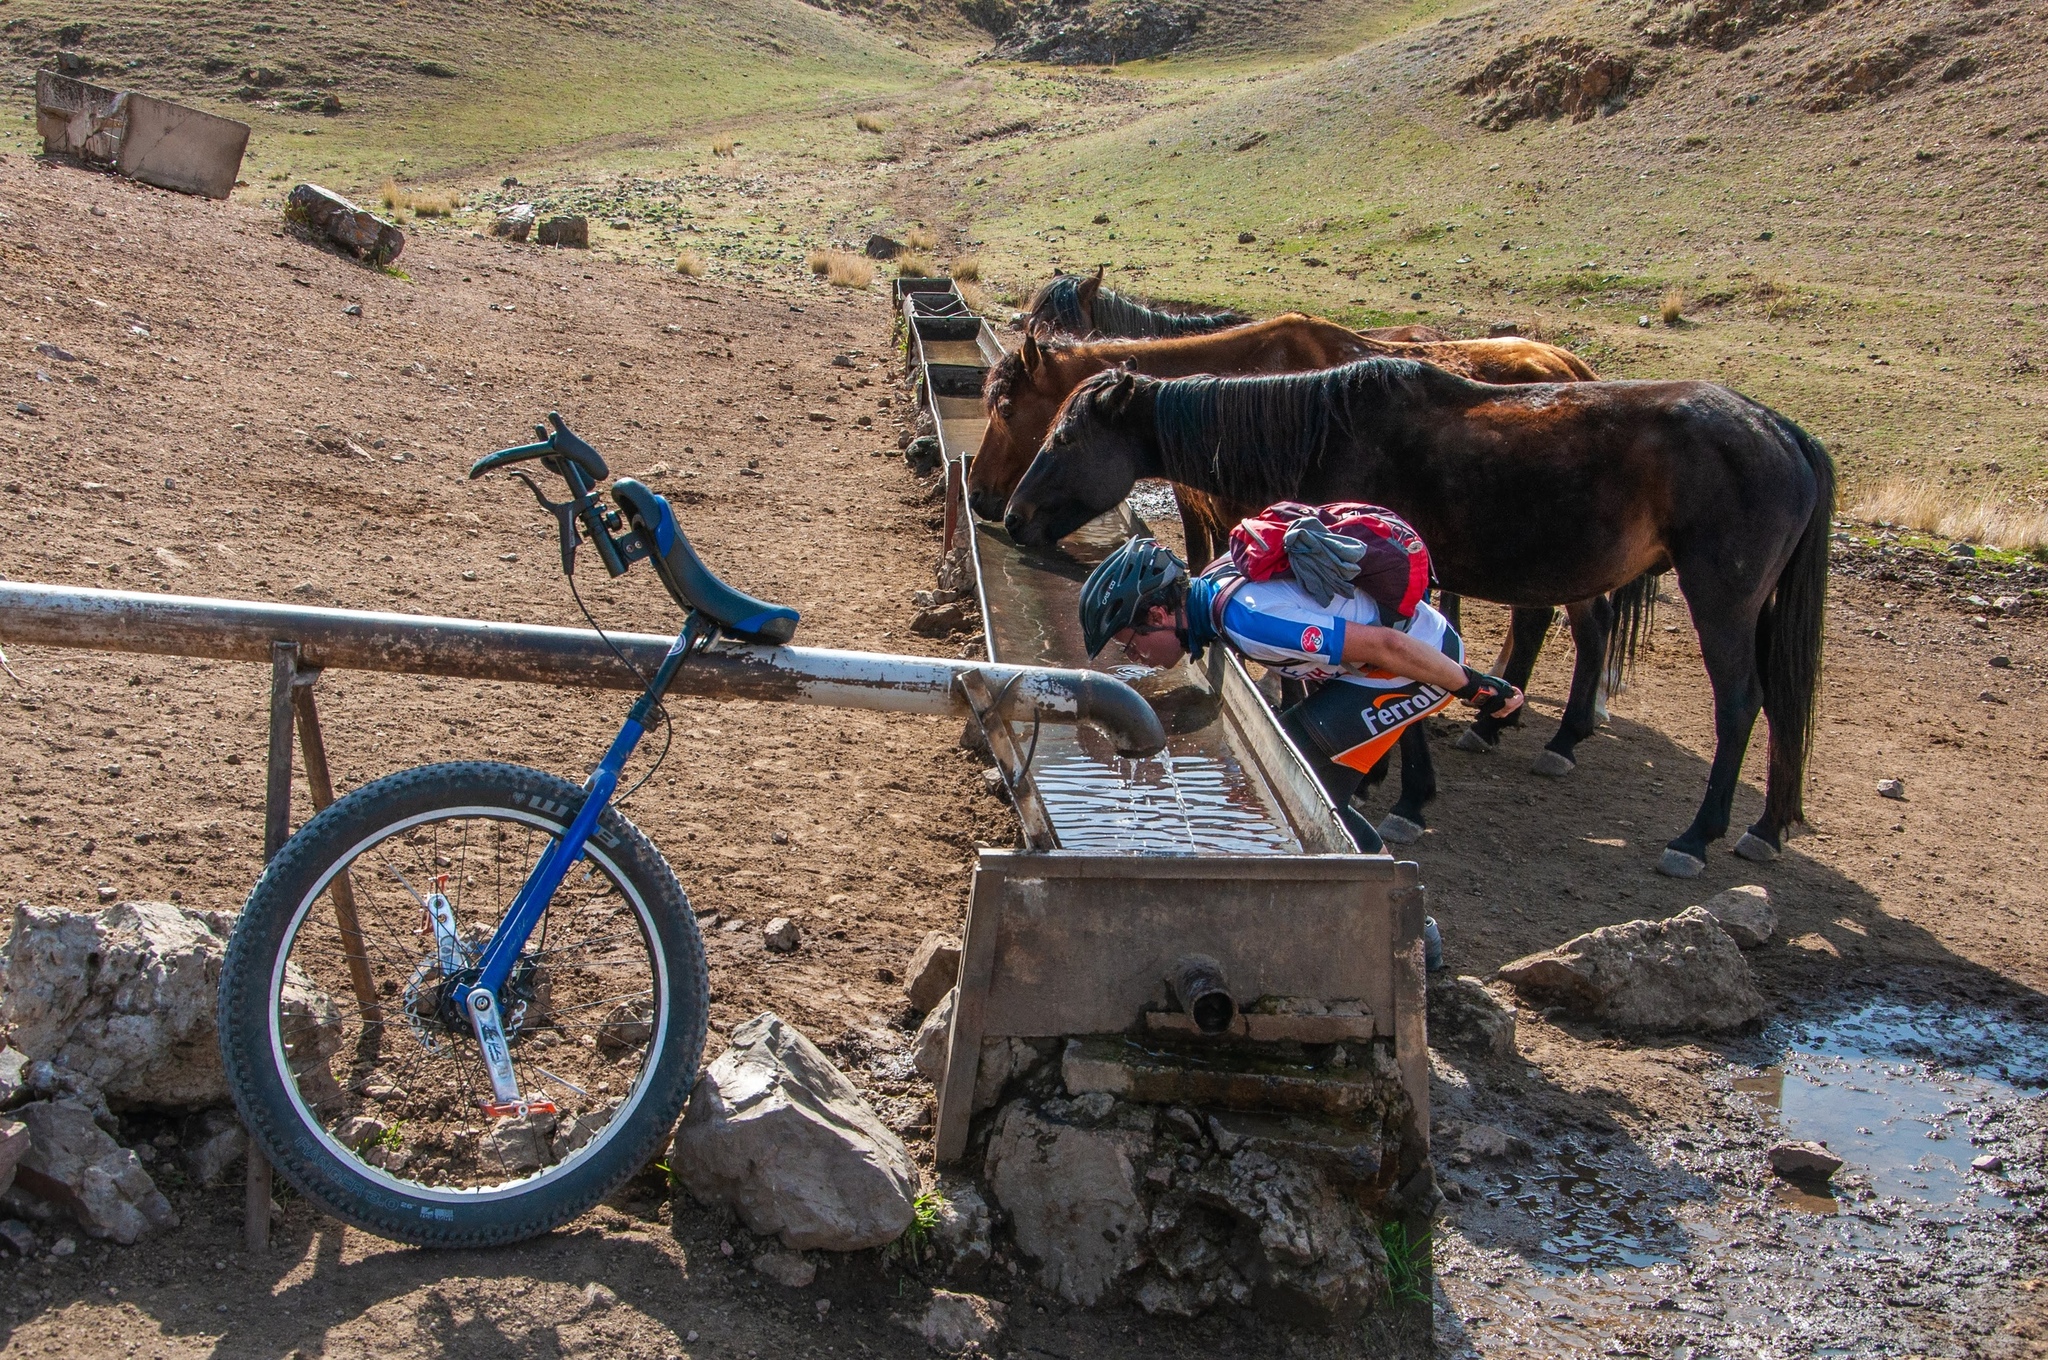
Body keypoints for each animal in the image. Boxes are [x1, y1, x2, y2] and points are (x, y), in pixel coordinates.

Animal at [999, 356, 1835, 876]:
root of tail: (1780, 429)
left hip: (1721, 598)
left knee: (1742, 703)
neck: (1321, 433)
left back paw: (1698, 836)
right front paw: (1380, 783)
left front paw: (1403, 796)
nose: (1011, 517)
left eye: (1066, 437)